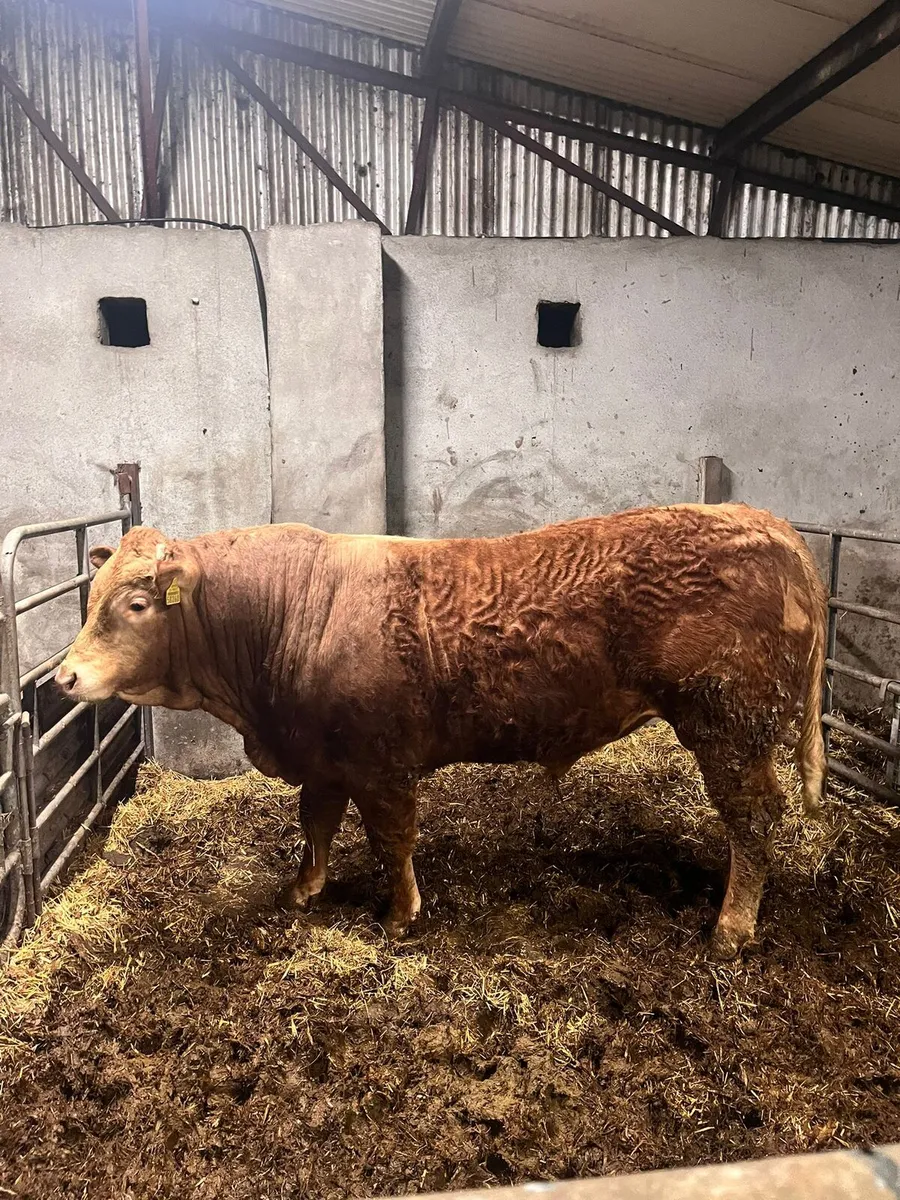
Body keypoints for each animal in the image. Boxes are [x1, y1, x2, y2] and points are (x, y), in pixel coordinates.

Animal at [55, 502, 826, 959]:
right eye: (90, 599)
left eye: (135, 604)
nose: (64, 677)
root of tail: (766, 523)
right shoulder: (325, 756)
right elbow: (316, 823)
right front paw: (304, 889)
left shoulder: (381, 762)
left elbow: (391, 840)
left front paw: (401, 916)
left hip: (730, 725)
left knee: (755, 816)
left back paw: (731, 928)